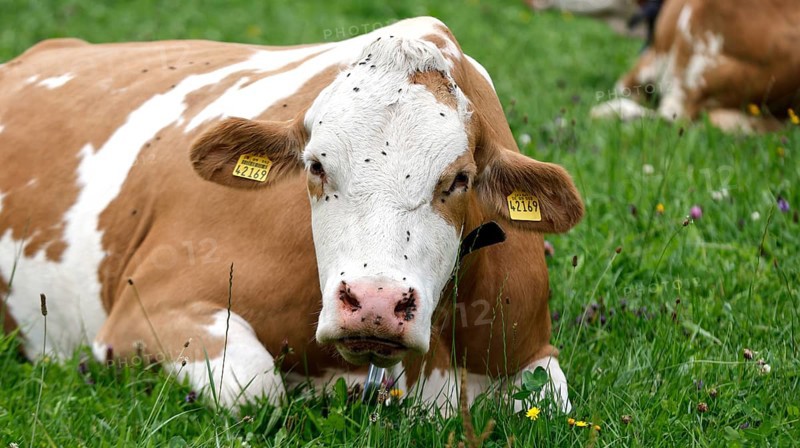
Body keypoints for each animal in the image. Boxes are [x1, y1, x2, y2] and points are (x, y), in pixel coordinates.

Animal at [0, 17, 583, 412]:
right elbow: (256, 387)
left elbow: (551, 402)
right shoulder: (145, 310)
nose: (375, 302)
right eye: (316, 166)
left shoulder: (532, 348)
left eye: (459, 179)